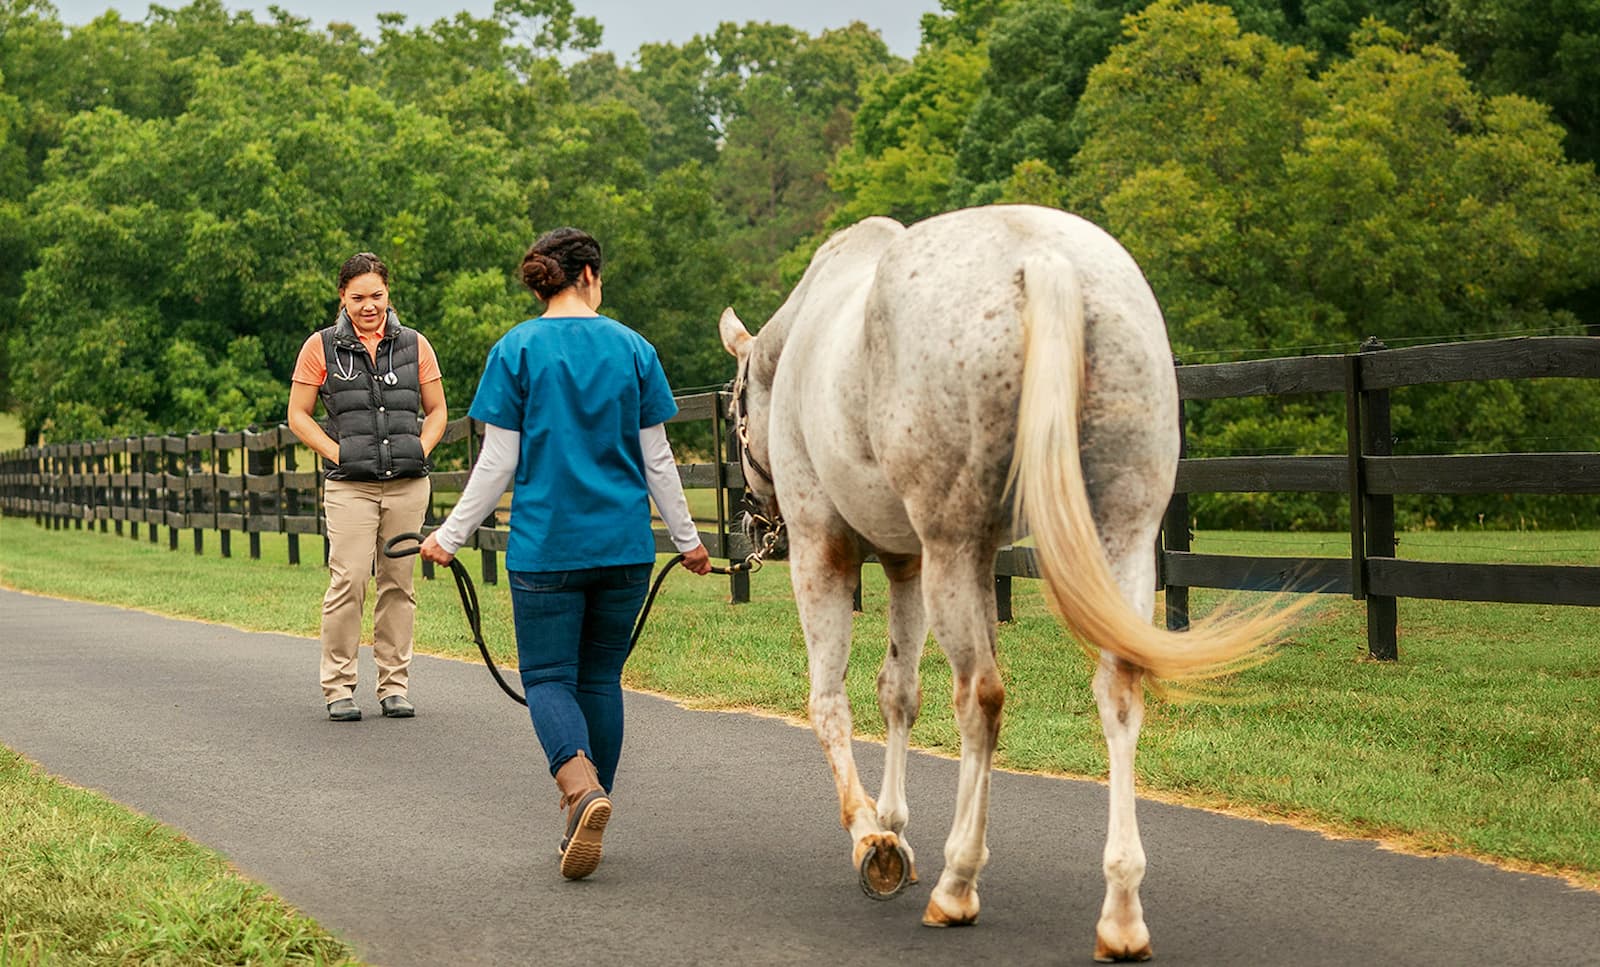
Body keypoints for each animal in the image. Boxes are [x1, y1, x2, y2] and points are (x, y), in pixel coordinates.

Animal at [720, 204, 1292, 960]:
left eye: (734, 418)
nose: (756, 523)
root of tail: (1046, 259)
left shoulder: (829, 548)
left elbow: (830, 700)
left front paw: (871, 836)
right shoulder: (907, 562)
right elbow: (898, 691)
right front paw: (894, 823)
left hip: (955, 548)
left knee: (981, 696)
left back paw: (959, 883)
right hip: (1119, 534)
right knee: (1118, 690)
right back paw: (1121, 912)